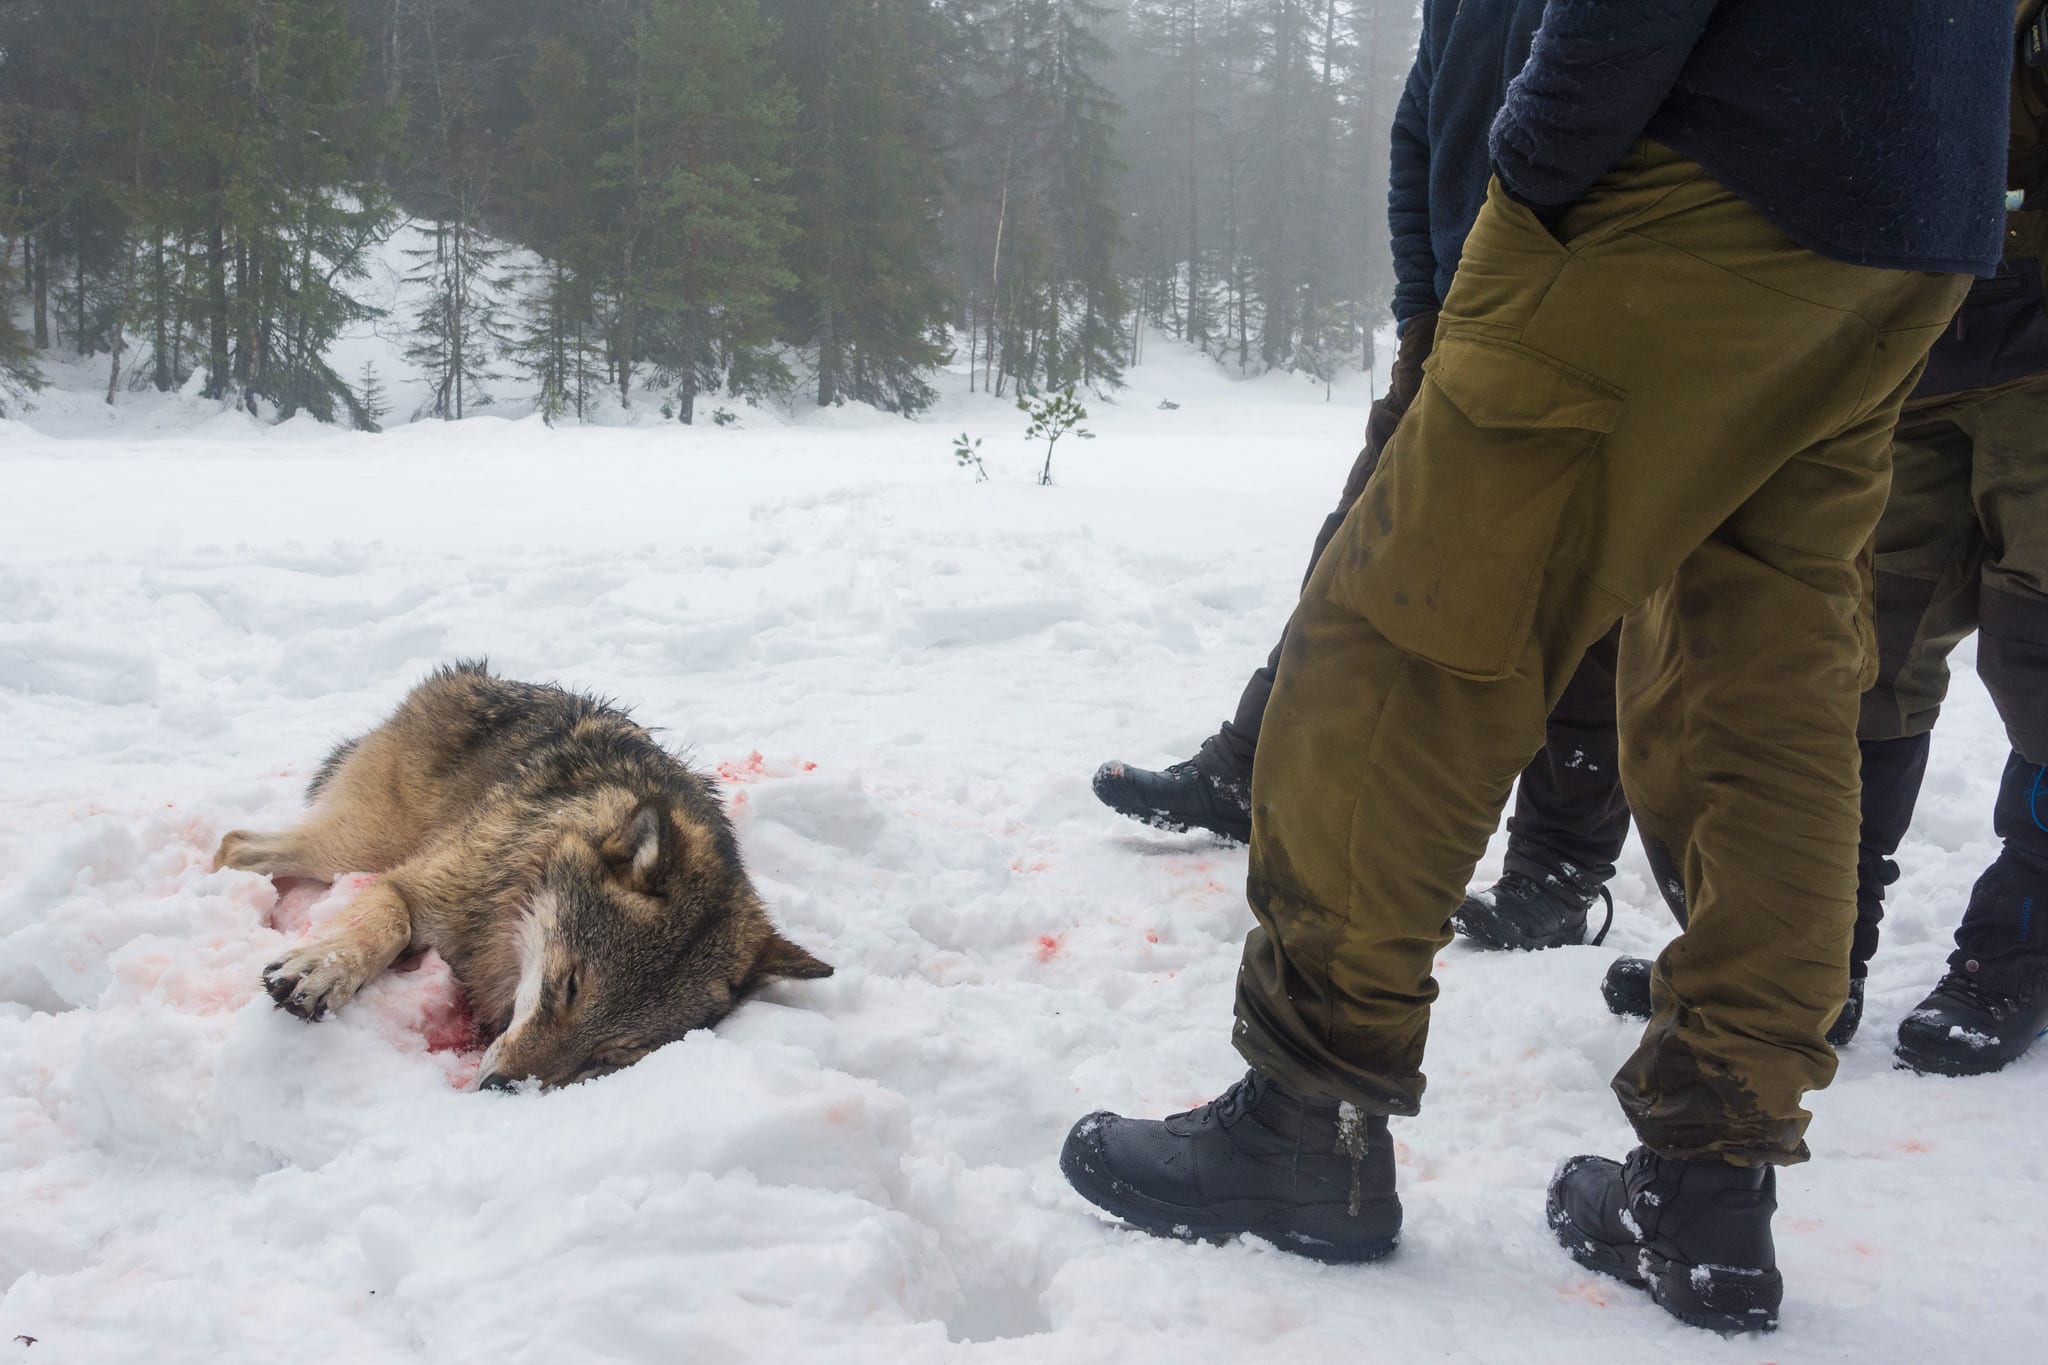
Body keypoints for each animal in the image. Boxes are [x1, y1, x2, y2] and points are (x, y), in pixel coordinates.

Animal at [216, 658, 831, 1088]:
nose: (501, 1087)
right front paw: (321, 971)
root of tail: (467, 677)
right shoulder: (410, 885)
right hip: (356, 849)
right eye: (570, 985)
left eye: (613, 1054)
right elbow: (385, 924)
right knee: (234, 844)